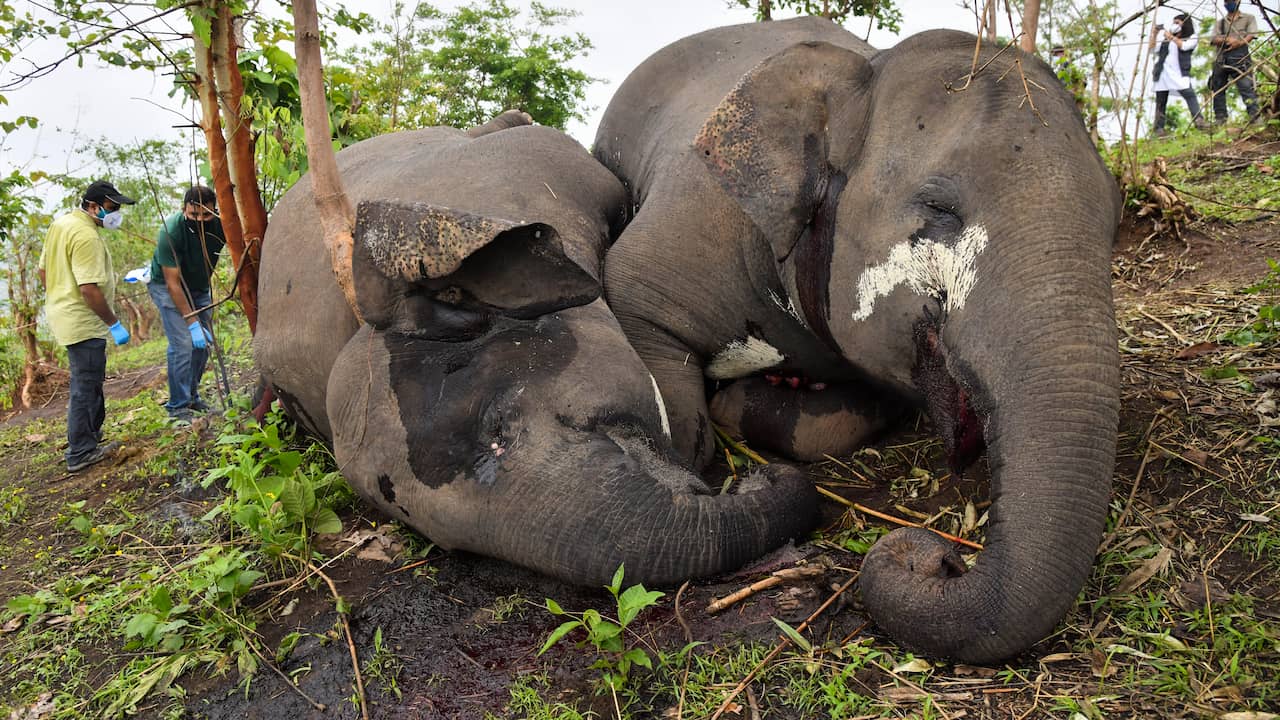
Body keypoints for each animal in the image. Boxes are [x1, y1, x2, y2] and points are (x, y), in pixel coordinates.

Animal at [591, 15, 1121, 661]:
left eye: (1116, 216)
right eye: (940, 208)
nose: (939, 557)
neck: (864, 74)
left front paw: (758, 397)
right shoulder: (696, 215)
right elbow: (639, 313)